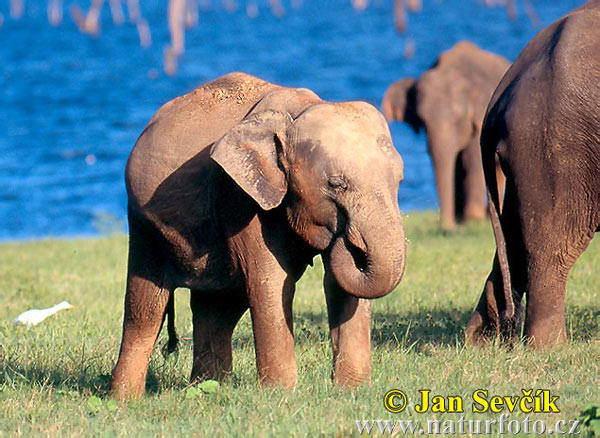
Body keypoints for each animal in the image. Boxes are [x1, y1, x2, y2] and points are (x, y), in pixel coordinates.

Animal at [109, 72, 408, 400]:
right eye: (335, 184)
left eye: (400, 180)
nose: (349, 239)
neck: (301, 110)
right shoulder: (242, 199)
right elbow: (272, 282)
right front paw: (281, 394)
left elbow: (339, 287)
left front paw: (351, 391)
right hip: (144, 226)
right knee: (146, 310)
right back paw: (126, 400)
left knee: (217, 308)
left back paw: (208, 390)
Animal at [382, 42, 508, 233]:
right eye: (422, 119)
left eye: (459, 118)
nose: (448, 228)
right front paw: (463, 220)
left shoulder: (479, 119)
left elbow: (471, 161)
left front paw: (472, 219)